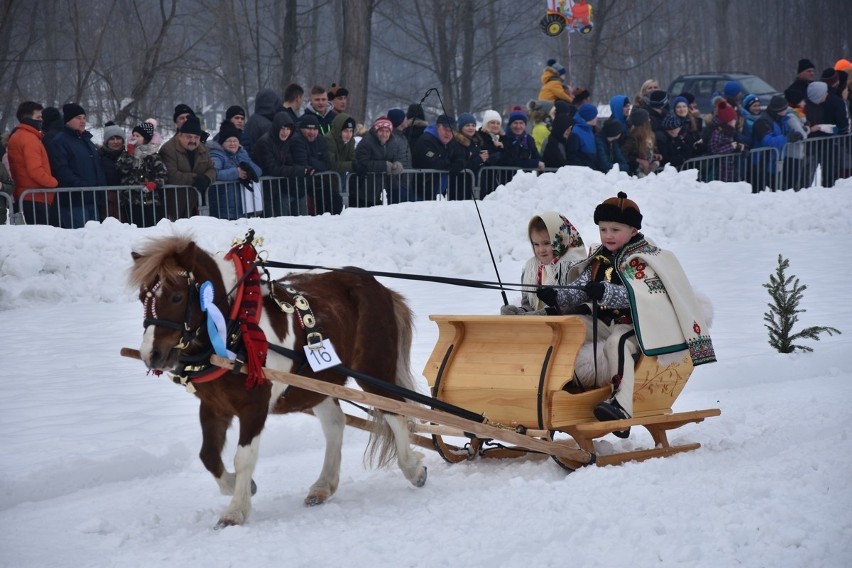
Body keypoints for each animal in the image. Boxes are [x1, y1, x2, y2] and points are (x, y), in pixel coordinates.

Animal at [128, 234, 426, 528]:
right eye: (142, 297)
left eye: (177, 296)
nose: (150, 355)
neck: (234, 326)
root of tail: (377, 286)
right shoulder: (214, 406)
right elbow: (209, 455)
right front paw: (239, 486)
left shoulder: (255, 406)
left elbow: (243, 457)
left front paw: (235, 510)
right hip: (316, 382)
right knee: (335, 424)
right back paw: (323, 485)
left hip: (374, 370)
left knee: (395, 412)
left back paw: (412, 469)